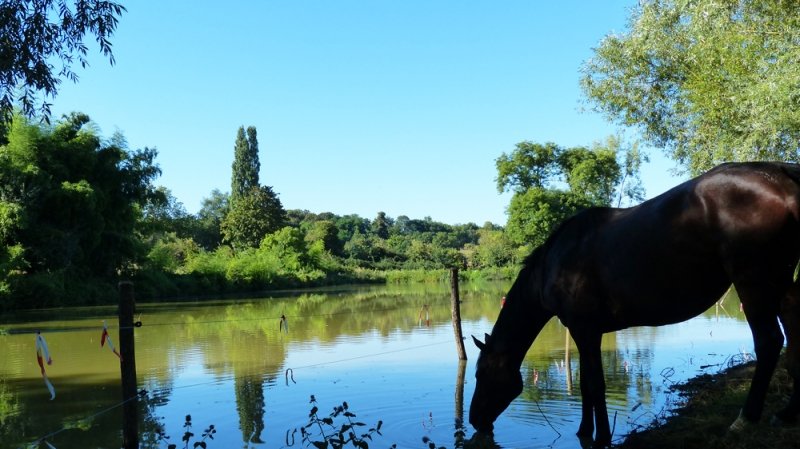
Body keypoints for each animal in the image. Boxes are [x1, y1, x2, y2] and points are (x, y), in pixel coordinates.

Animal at [469, 161, 800, 447]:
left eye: (481, 374)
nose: (474, 420)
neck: (554, 264)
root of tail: (780, 178)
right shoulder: (585, 332)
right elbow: (586, 383)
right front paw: (584, 431)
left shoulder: (584, 329)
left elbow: (595, 384)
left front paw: (601, 436)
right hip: (782, 281)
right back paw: (786, 414)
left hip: (753, 282)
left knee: (769, 342)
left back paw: (745, 419)